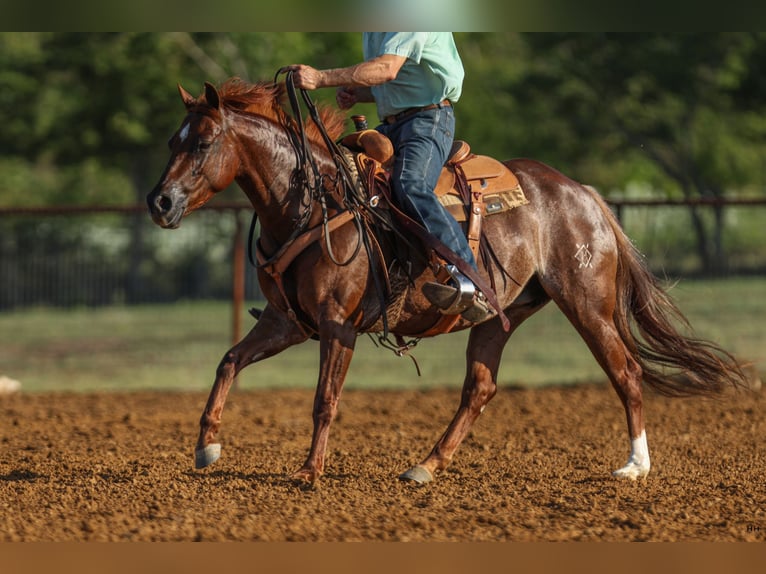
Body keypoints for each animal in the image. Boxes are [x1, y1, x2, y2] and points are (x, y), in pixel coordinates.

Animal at [147, 77, 748, 486]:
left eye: (202, 143)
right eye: (173, 141)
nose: (160, 202)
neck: (315, 203)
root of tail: (581, 193)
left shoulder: (337, 326)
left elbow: (324, 399)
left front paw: (310, 471)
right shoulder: (288, 322)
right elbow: (228, 361)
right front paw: (207, 447)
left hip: (586, 302)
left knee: (625, 370)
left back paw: (634, 466)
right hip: (502, 316)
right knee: (479, 388)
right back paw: (427, 465)